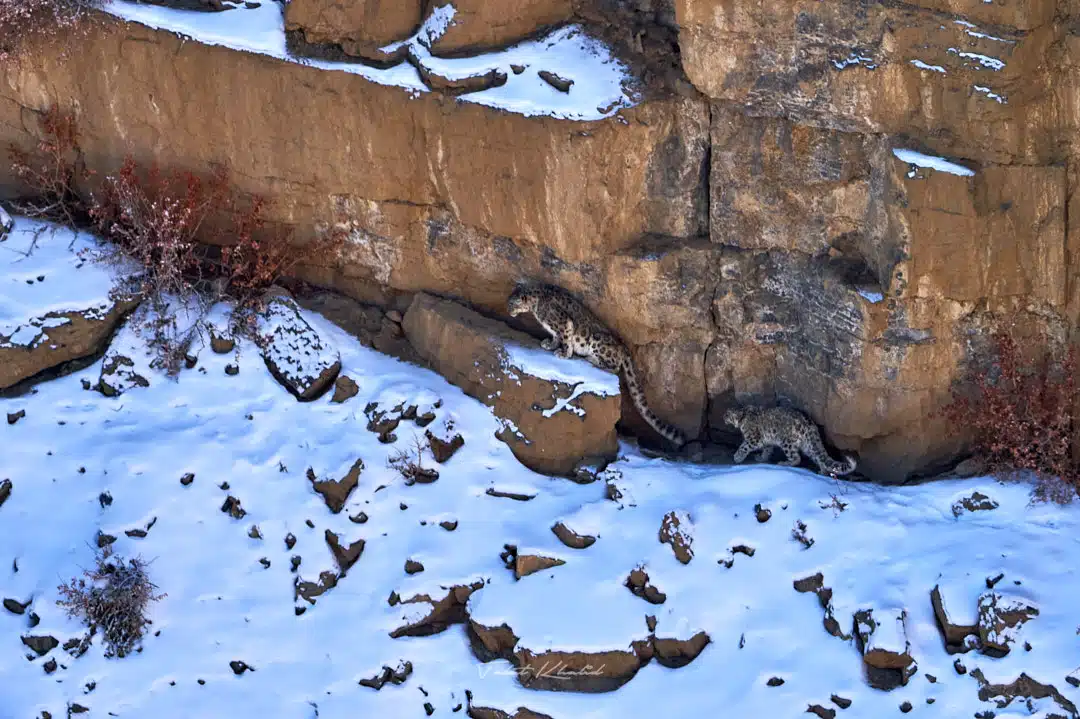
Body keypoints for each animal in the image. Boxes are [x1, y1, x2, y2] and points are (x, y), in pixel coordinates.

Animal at [507, 282, 688, 448]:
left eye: (512, 303)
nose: (508, 310)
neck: (536, 305)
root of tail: (623, 347)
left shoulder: (563, 322)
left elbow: (565, 339)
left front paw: (563, 353)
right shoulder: (555, 329)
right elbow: (556, 337)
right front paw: (549, 344)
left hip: (597, 341)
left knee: (614, 366)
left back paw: (591, 359)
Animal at [724, 405, 857, 477]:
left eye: (727, 415)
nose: (722, 417)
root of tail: (809, 422)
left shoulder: (754, 438)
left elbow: (744, 446)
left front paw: (737, 457)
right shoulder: (767, 443)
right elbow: (767, 450)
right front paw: (761, 458)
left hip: (787, 442)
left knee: (797, 458)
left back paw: (784, 463)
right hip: (808, 445)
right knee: (818, 456)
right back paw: (822, 471)